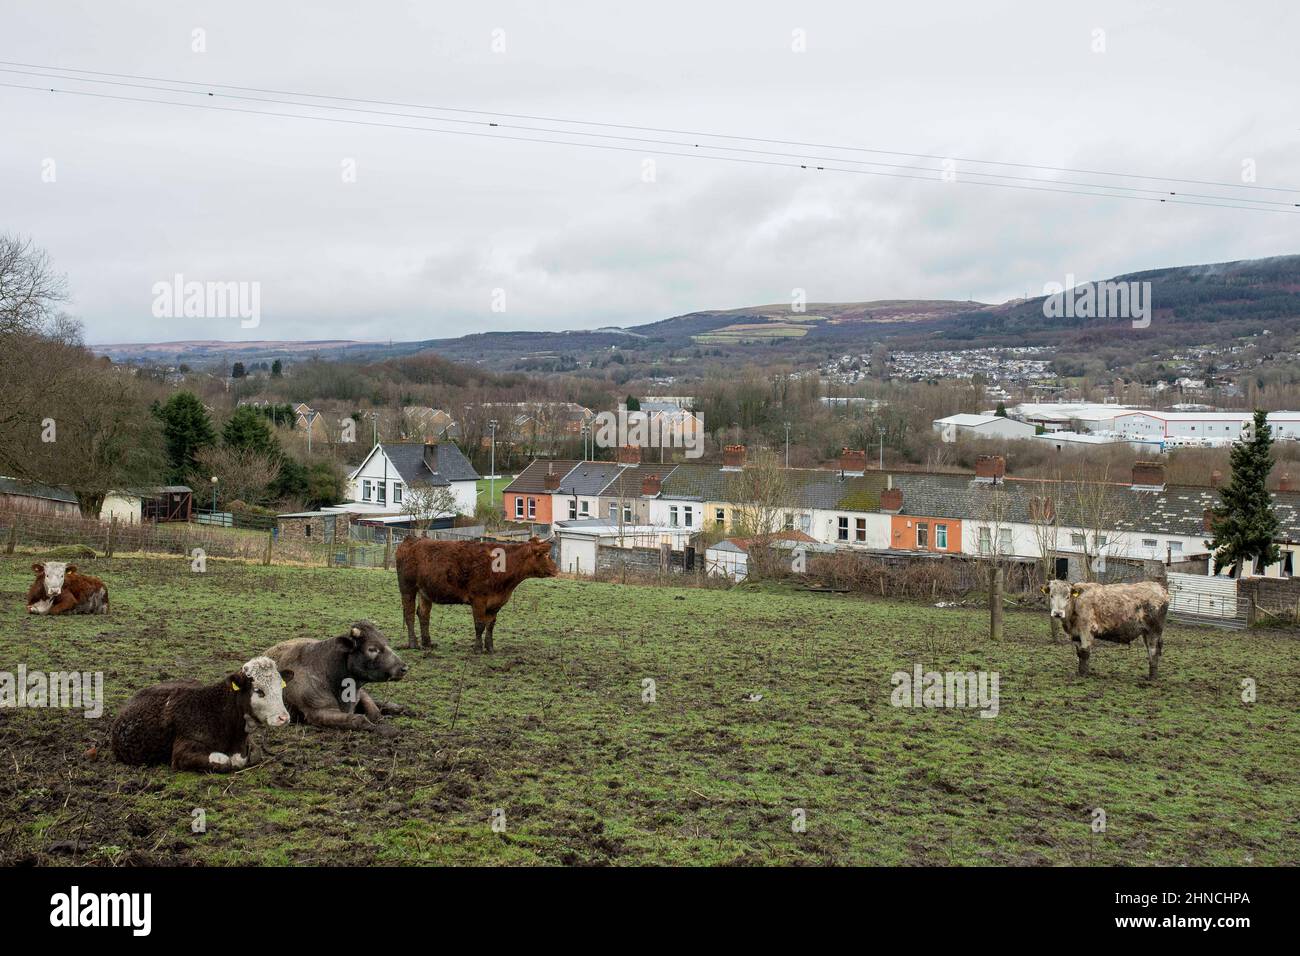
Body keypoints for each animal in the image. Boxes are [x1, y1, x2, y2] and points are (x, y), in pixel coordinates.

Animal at [109, 655, 295, 775]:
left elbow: (255, 754)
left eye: (281, 687)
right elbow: (225, 762)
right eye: (258, 691)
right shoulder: (182, 752)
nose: (283, 718)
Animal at [262, 624, 405, 738]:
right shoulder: (316, 711)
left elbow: (375, 713)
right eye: (372, 649)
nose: (403, 668)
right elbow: (359, 719)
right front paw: (387, 729)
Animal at [395, 535, 559, 655]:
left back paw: (427, 643)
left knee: (423, 615)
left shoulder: (495, 603)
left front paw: (490, 648)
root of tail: (412, 539)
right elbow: (479, 624)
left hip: (425, 592)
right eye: (546, 554)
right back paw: (414, 644)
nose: (556, 570)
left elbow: (490, 625)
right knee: (409, 614)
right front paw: (478, 648)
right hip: (407, 588)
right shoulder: (479, 599)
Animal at [1040, 582, 1175, 681]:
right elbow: (1079, 653)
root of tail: (1160, 588)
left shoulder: (1086, 631)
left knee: (1153, 651)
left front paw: (1084, 675)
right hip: (1146, 632)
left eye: (1067, 596)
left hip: (1154, 631)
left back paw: (1152, 678)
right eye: (1051, 595)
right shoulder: (1076, 634)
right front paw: (1079, 673)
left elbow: (1085, 652)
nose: (1057, 613)